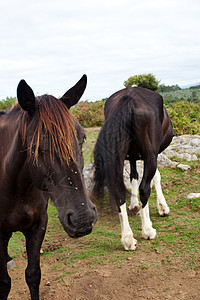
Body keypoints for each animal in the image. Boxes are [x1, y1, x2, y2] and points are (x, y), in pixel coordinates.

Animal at [0, 75, 97, 300]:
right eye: (36, 147)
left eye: (82, 138)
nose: (82, 219)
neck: (19, 189)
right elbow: (4, 282)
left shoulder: (38, 225)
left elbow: (33, 275)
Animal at [93, 86, 173, 251]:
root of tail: (129, 97)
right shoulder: (153, 154)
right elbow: (156, 177)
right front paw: (162, 207)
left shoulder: (132, 156)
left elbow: (134, 176)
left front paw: (134, 205)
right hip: (150, 154)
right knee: (145, 188)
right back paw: (147, 230)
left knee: (119, 192)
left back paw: (128, 239)